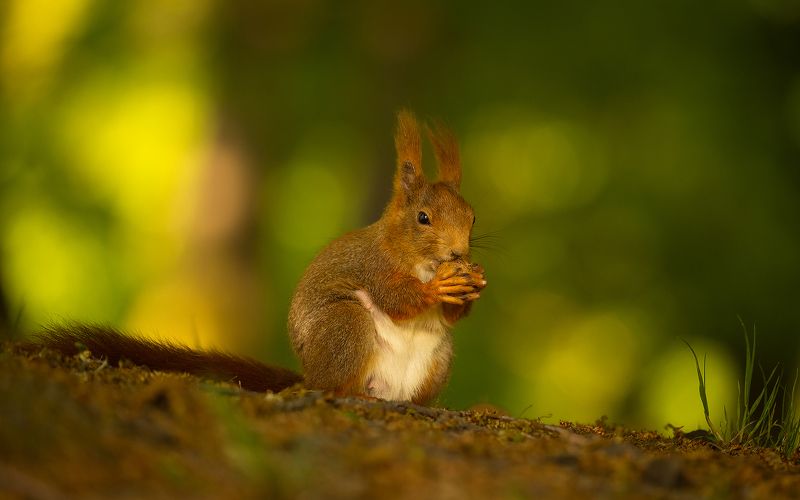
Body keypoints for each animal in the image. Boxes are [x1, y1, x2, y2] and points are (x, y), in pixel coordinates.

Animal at [34, 110, 486, 405]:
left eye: (472, 216)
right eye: (423, 218)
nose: (458, 252)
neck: (413, 257)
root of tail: (310, 373)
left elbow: (451, 316)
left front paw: (473, 284)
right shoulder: (374, 267)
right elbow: (396, 298)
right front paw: (439, 287)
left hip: (438, 358)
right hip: (345, 325)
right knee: (335, 385)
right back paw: (354, 392)